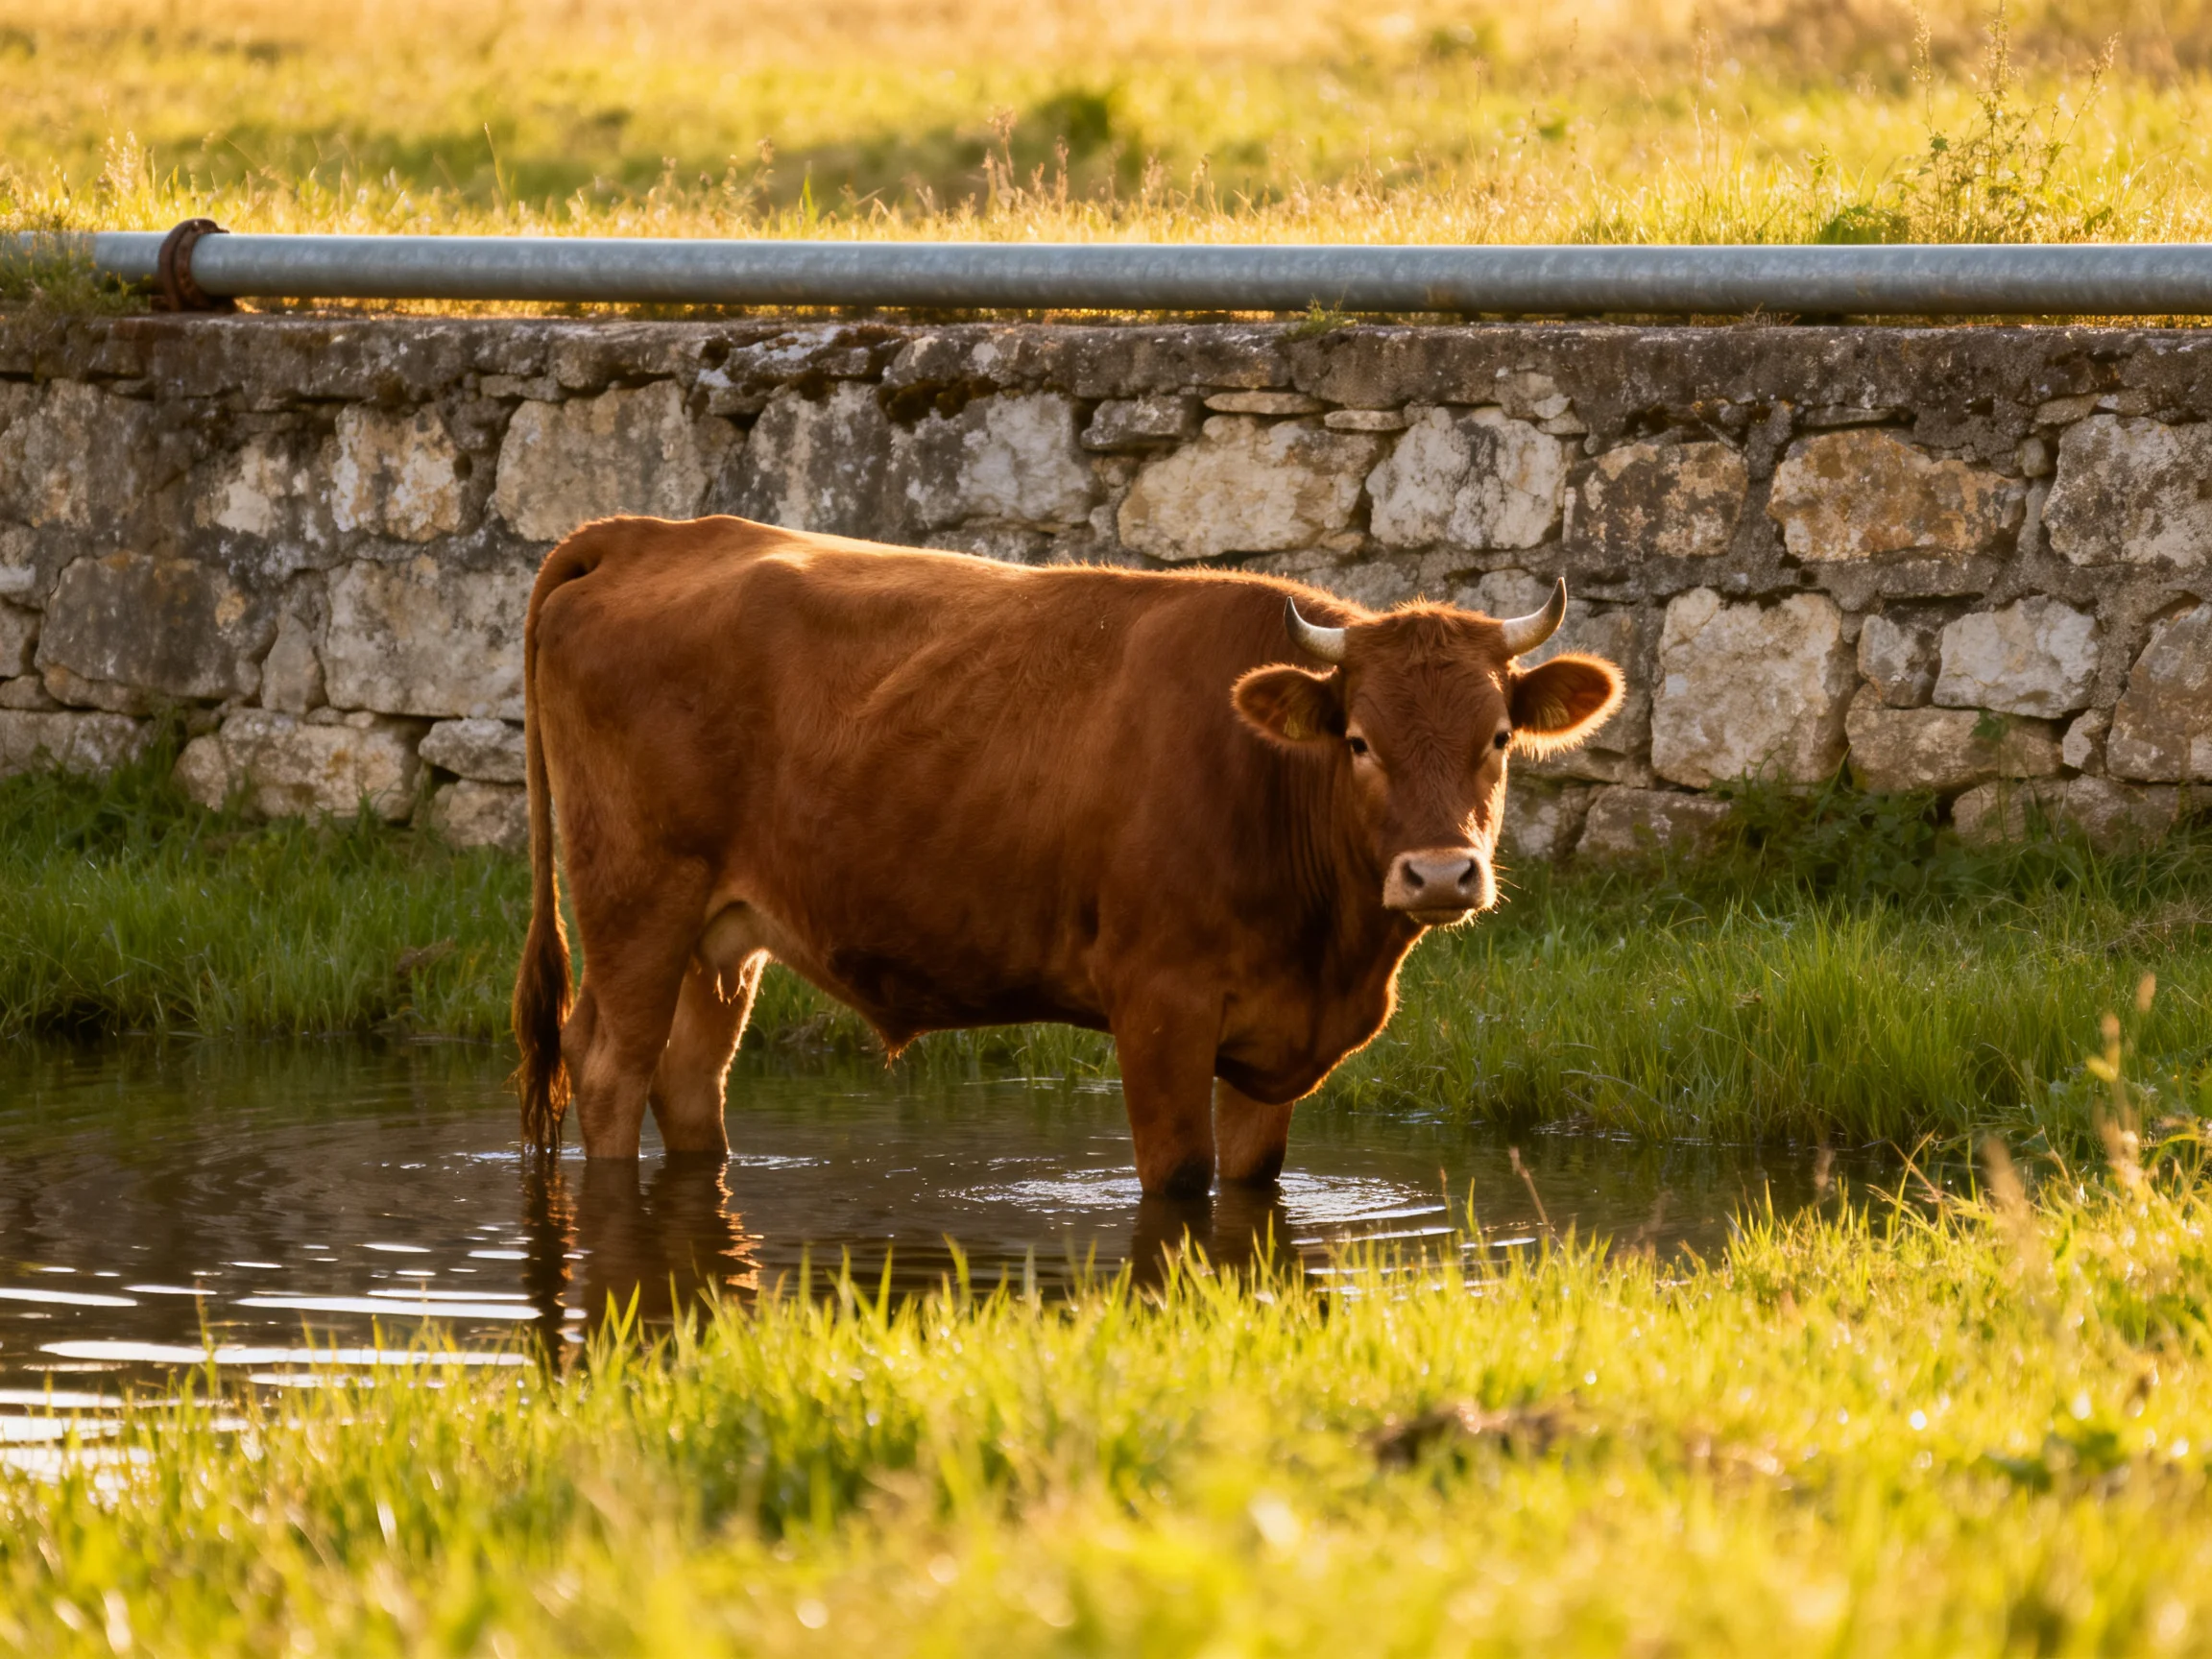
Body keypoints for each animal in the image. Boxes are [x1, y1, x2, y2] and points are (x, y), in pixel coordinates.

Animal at [511, 516, 1623, 1198]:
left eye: (1497, 737)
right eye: (1358, 742)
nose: (1439, 874)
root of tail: (647, 535)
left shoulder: (1272, 1049)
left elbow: (1250, 1181)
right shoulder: (1159, 1006)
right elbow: (1180, 1182)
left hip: (720, 937)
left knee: (688, 1078)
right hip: (637, 902)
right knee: (609, 1068)